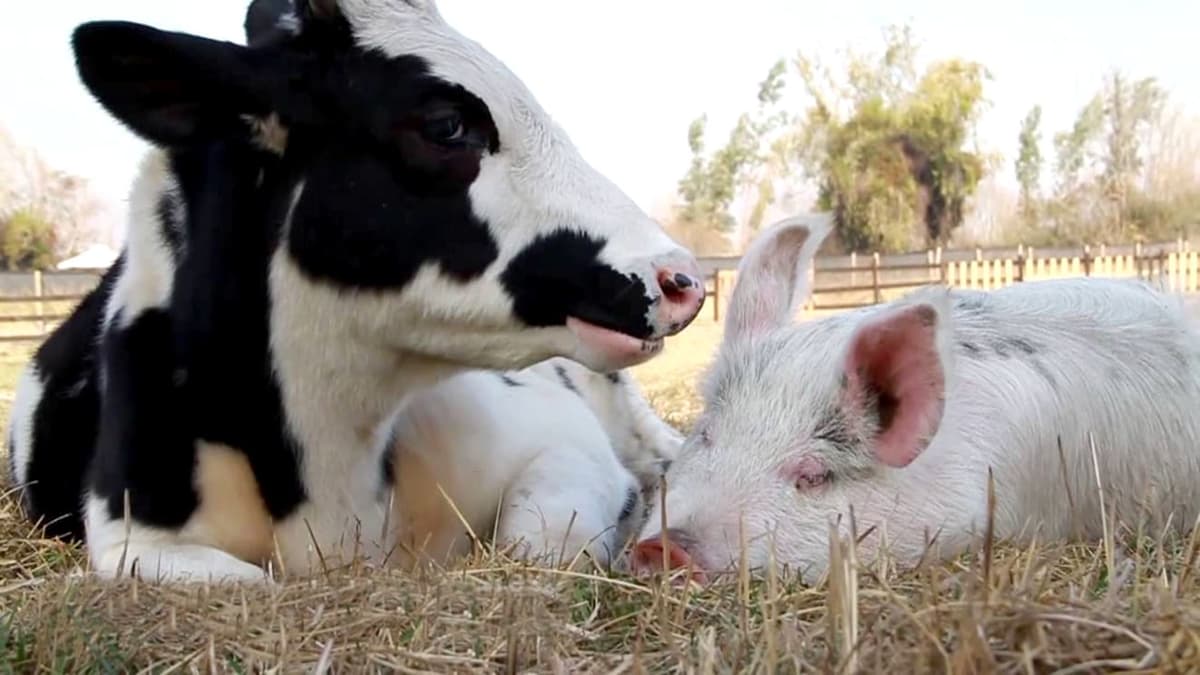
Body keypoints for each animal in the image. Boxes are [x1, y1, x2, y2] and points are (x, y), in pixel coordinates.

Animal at [5, 0, 705, 585]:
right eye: (446, 125)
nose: (682, 279)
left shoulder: (564, 441)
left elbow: (536, 546)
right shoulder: (133, 541)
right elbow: (246, 582)